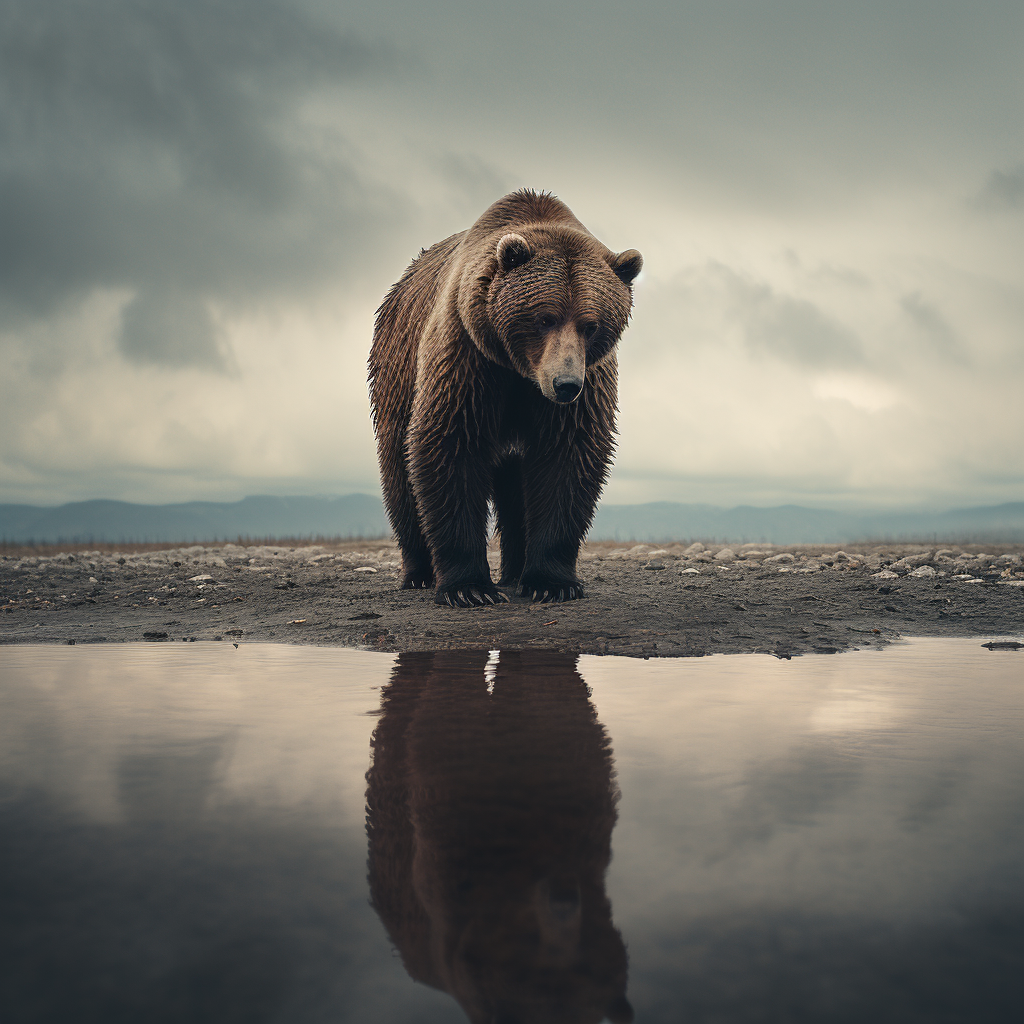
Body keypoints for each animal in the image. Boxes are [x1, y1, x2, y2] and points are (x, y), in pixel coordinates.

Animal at [366, 188, 638, 602]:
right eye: (545, 318)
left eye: (590, 325)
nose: (565, 385)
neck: (521, 370)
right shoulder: (469, 356)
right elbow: (451, 443)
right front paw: (469, 588)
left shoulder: (585, 381)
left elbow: (567, 456)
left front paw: (552, 582)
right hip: (397, 365)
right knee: (398, 468)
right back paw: (419, 572)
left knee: (516, 488)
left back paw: (515, 571)